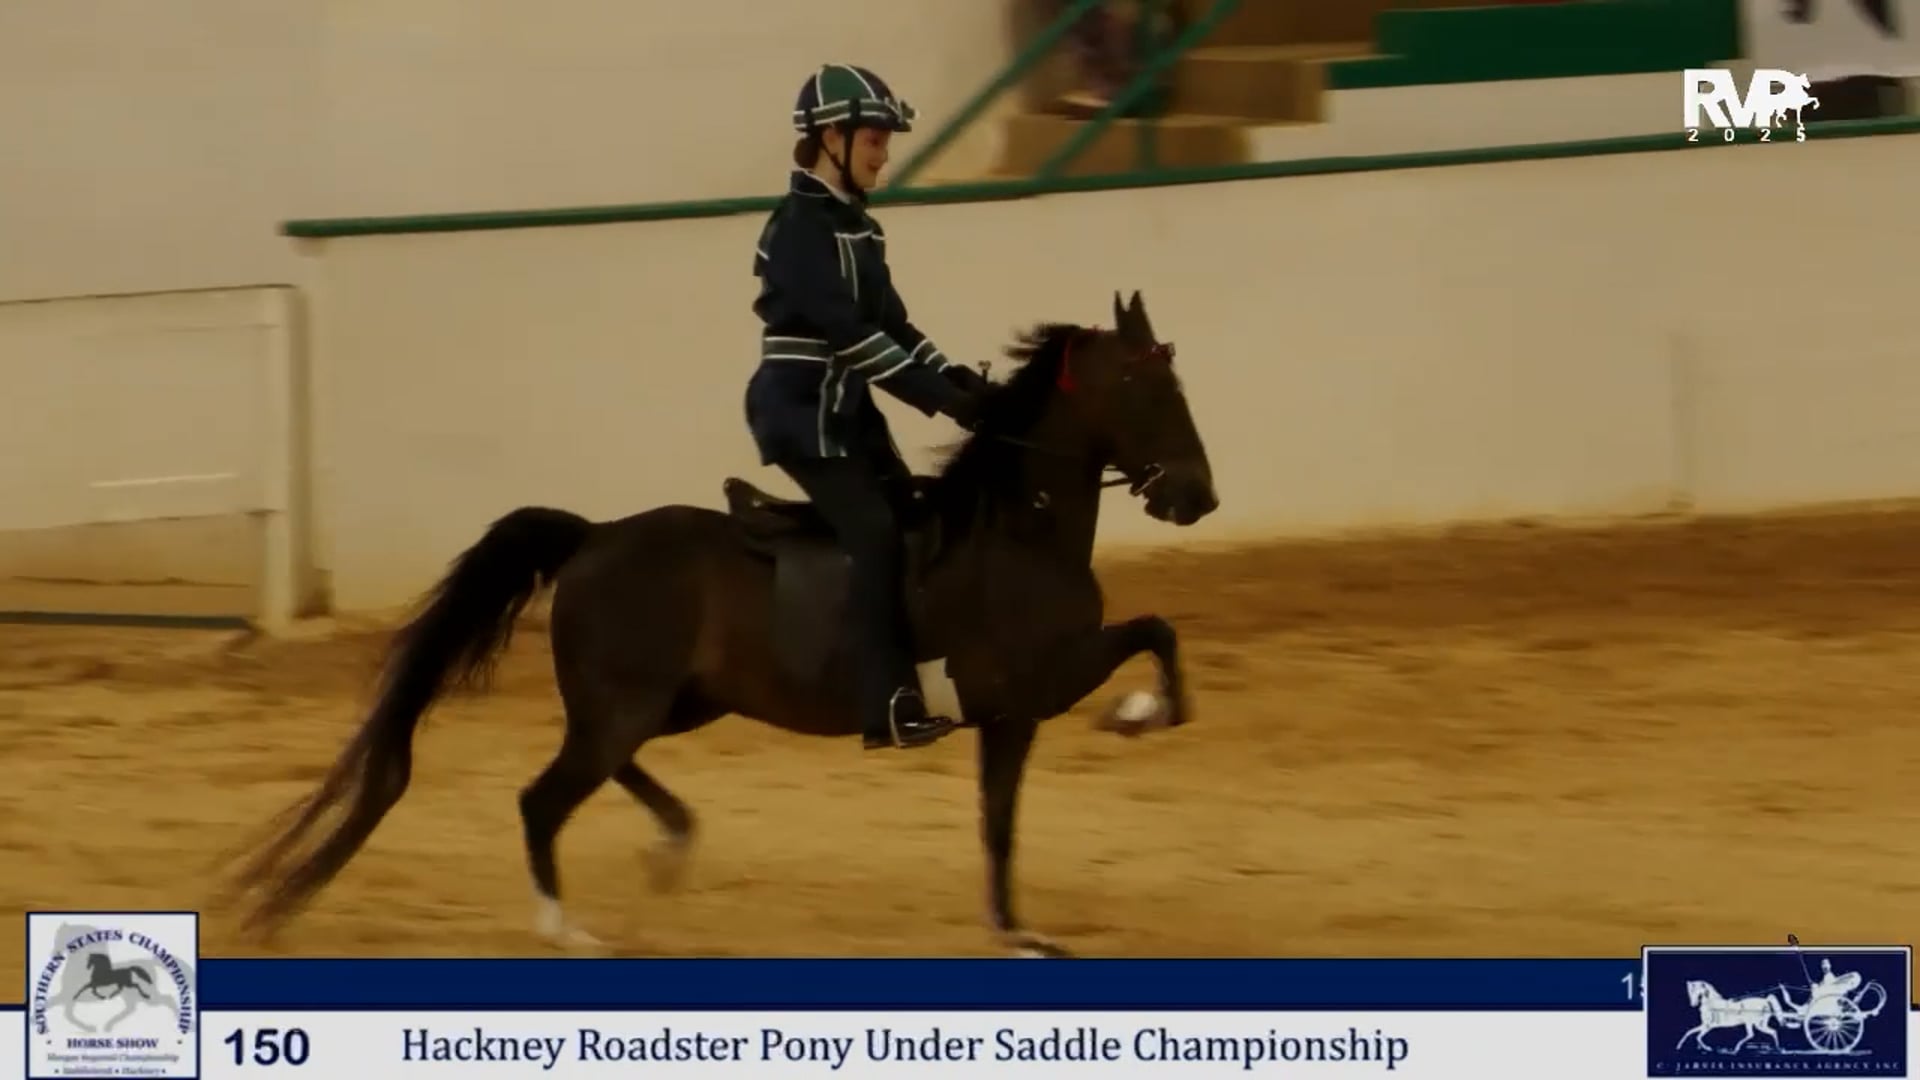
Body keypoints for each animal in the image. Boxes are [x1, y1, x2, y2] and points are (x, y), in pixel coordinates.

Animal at [224, 290, 1220, 957]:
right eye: (1148, 391)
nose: (1197, 498)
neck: (1018, 527)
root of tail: (595, 536)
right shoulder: (1036, 685)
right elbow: (1153, 634)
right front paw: (1143, 714)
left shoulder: (1012, 714)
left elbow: (999, 821)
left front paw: (1017, 932)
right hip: (632, 704)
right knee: (545, 797)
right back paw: (568, 929)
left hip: (672, 703)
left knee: (602, 768)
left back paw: (671, 844)